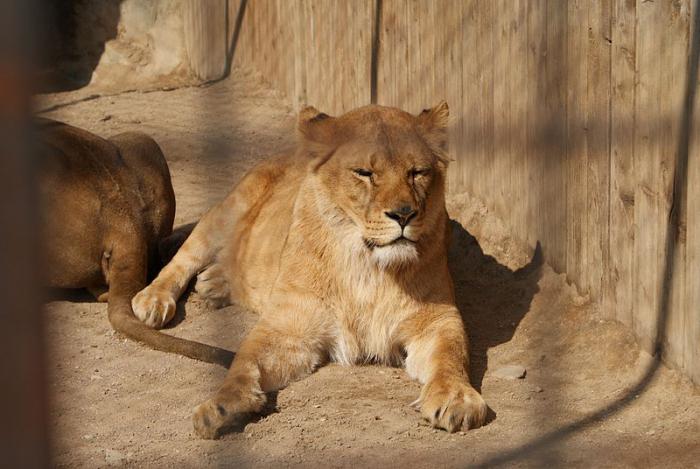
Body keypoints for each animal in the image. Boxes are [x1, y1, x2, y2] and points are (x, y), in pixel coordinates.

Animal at [133, 100, 486, 436]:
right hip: (226, 211)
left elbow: (451, 356)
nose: (403, 214)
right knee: (184, 258)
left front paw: (457, 398)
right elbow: (243, 363)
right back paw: (154, 301)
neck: (368, 266)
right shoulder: (288, 327)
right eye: (364, 173)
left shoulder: (437, 319)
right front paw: (221, 405)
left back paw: (215, 283)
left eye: (417, 172)